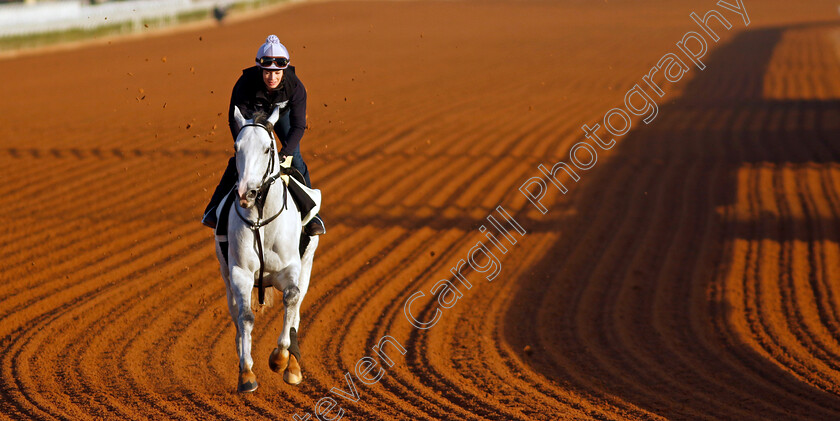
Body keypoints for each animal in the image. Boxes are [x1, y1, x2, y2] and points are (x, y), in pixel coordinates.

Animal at [215, 104, 320, 390]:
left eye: (266, 149)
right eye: (237, 146)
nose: (246, 193)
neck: (262, 217)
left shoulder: (292, 267)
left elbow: (292, 299)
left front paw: (280, 359)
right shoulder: (239, 272)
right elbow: (245, 317)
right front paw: (247, 372)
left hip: (307, 265)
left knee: (296, 311)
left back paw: (293, 366)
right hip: (226, 275)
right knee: (235, 313)